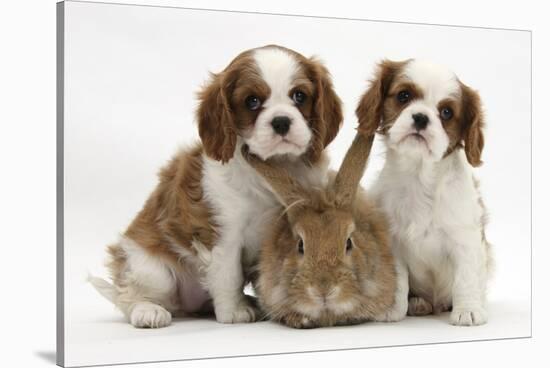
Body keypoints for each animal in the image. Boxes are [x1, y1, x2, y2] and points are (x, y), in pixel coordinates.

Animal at [91, 44, 342, 326]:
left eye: (300, 96)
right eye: (252, 101)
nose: (281, 121)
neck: (274, 166)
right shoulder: (222, 233)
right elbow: (228, 274)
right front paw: (234, 311)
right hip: (152, 269)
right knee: (129, 296)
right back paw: (148, 311)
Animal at [358, 59, 496, 326]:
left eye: (447, 112)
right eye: (403, 96)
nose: (421, 118)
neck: (419, 175)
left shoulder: (465, 239)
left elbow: (465, 277)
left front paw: (468, 310)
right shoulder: (392, 242)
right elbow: (398, 279)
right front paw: (393, 309)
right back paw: (418, 303)